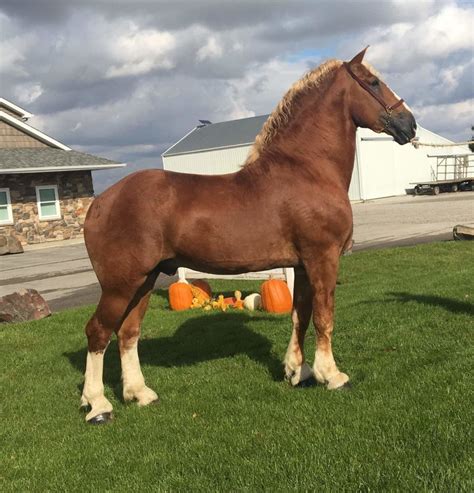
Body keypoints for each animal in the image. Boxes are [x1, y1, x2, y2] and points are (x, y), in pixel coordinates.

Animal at [81, 48, 414, 420]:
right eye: (373, 82)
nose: (410, 123)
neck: (307, 169)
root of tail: (100, 203)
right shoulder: (323, 258)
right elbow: (324, 316)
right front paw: (332, 375)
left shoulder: (301, 265)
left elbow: (300, 315)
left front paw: (298, 372)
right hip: (120, 284)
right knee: (98, 332)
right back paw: (98, 405)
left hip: (144, 280)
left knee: (128, 332)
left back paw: (139, 393)